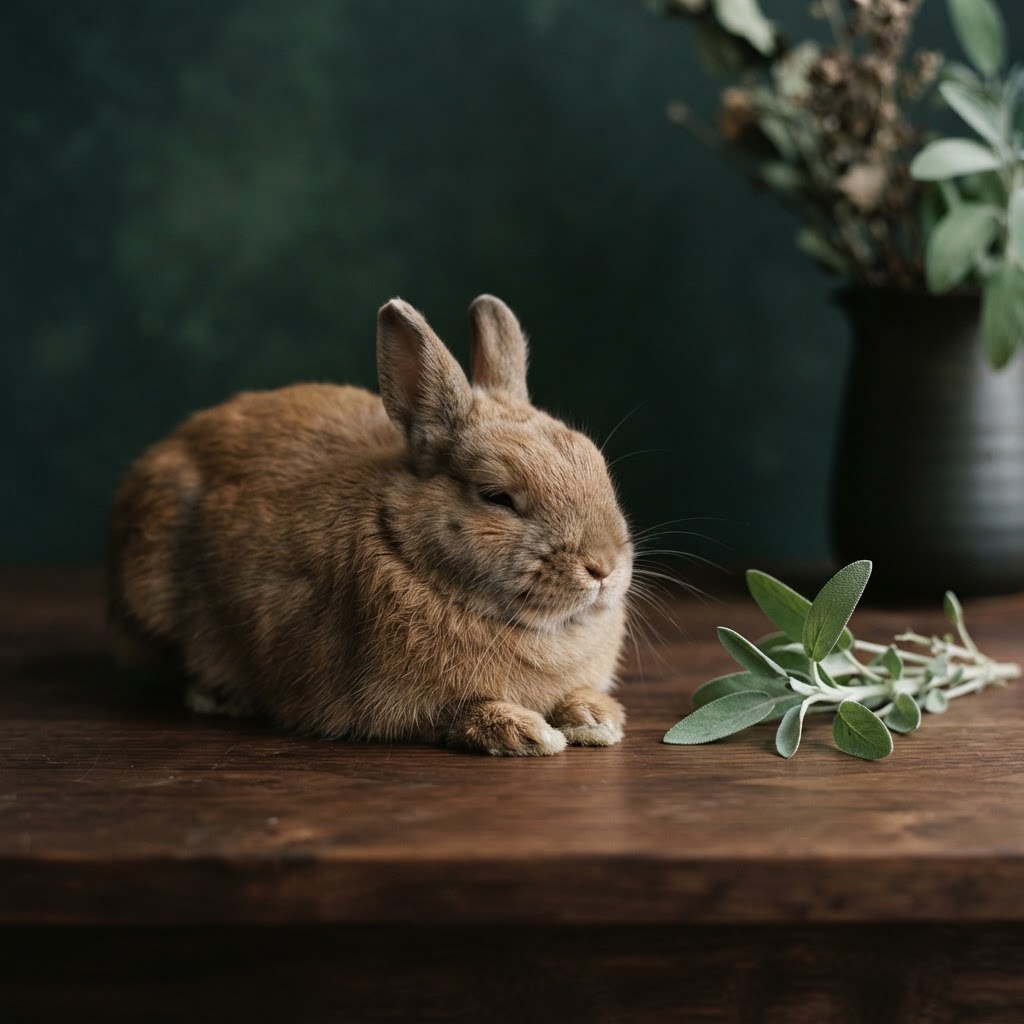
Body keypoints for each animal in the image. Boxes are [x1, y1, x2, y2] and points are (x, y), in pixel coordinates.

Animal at [107, 295, 633, 755]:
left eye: (596, 464)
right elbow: (456, 712)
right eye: (496, 497)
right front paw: (527, 733)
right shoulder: (389, 704)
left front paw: (595, 718)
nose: (603, 568)